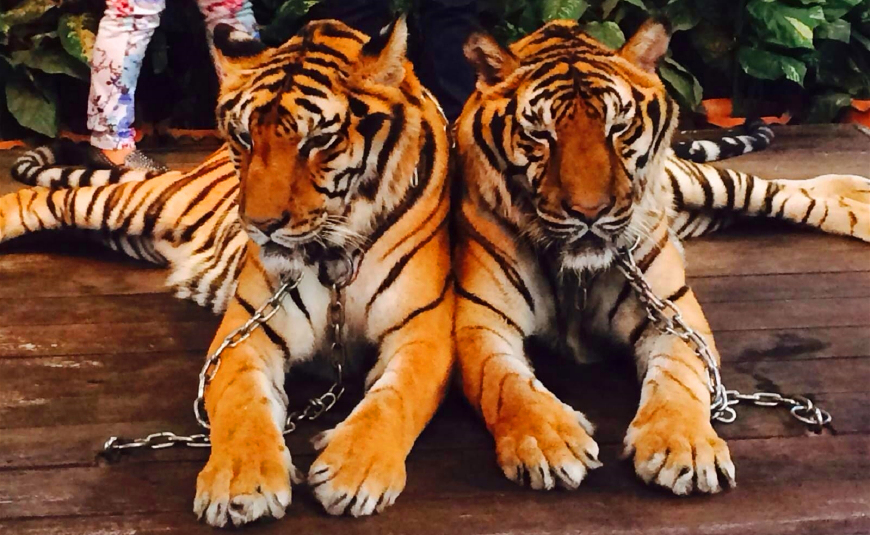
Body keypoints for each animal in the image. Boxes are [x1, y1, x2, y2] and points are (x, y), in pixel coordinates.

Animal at [0, 18, 455, 526]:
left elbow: (397, 397)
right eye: (245, 137)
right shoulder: (247, 332)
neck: (334, 254)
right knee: (37, 200)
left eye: (318, 141)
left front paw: (354, 469)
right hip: (143, 204)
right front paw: (241, 484)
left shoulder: (424, 331)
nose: (260, 225)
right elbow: (242, 403)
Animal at [453, 18, 870, 496]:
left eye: (618, 128)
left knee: (790, 192)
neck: (575, 274)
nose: (590, 213)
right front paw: (548, 441)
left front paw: (683, 447)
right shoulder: (480, 321)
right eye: (541, 134)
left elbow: (679, 380)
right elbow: (506, 384)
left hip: (709, 185)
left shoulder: (674, 314)